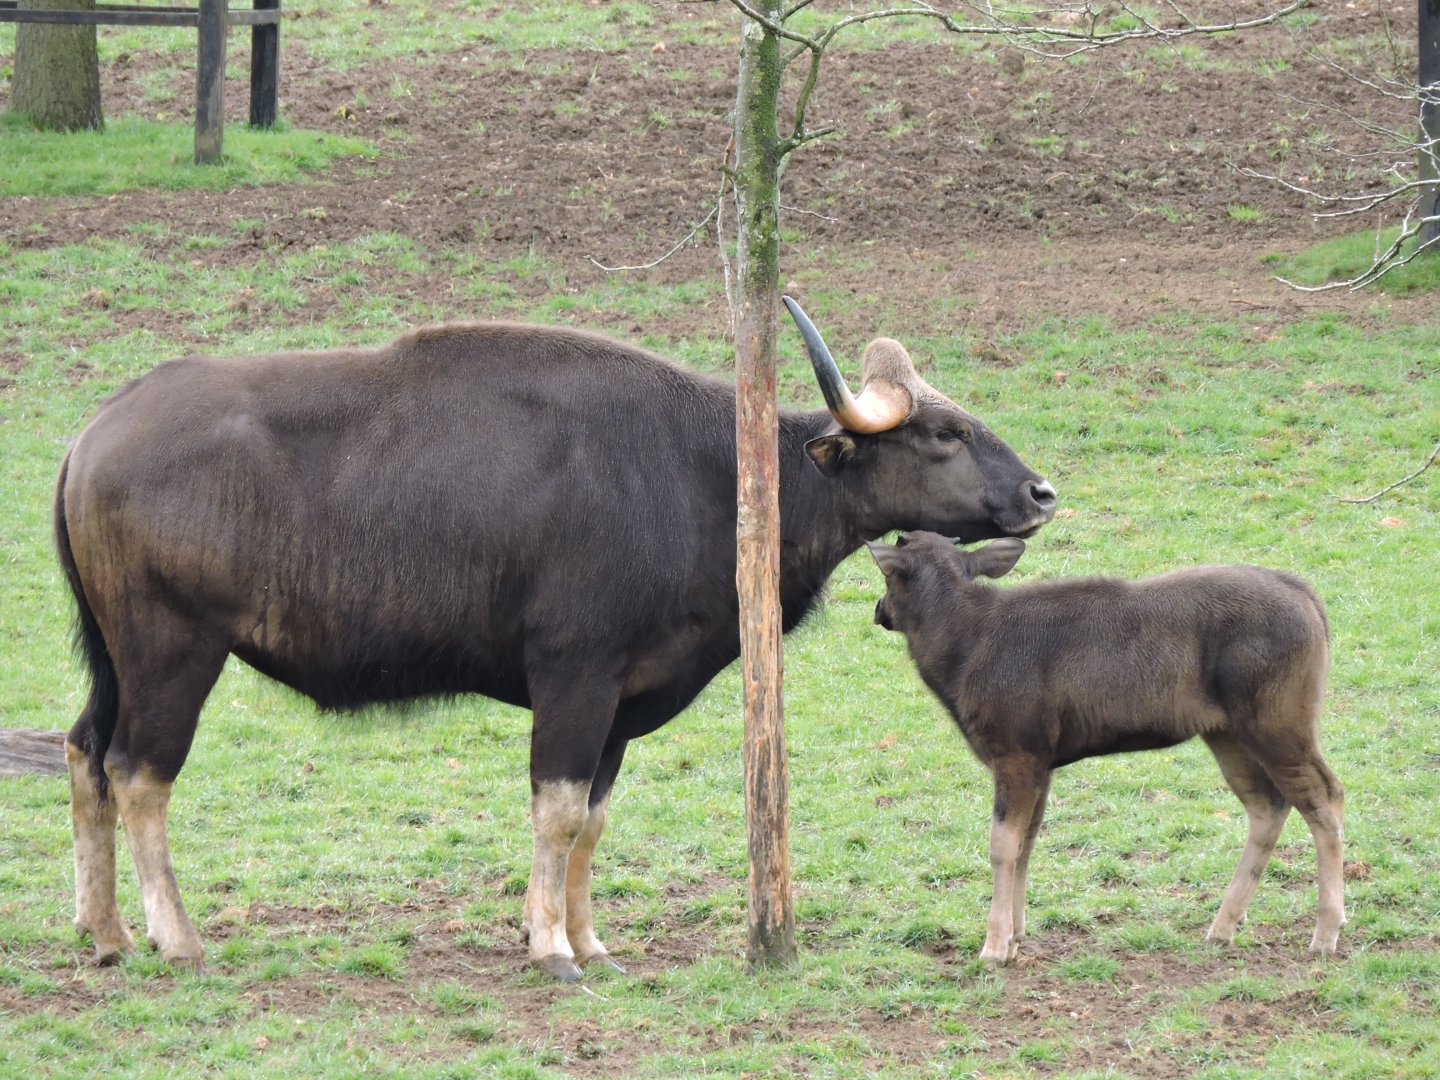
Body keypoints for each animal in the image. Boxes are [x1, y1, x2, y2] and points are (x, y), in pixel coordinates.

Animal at [54, 299, 1057, 981]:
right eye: (943, 432)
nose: (1040, 491)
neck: (712, 473)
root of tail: (94, 433)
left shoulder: (619, 703)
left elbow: (593, 821)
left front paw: (589, 938)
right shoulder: (575, 679)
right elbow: (558, 810)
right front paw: (548, 947)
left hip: (111, 658)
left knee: (84, 752)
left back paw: (105, 932)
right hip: (171, 651)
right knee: (140, 773)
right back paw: (176, 937)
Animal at [867, 531, 1344, 965]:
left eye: (888, 574)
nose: (879, 611)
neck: (958, 655)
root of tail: (1310, 600)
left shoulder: (1016, 750)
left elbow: (1002, 845)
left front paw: (995, 946)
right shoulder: (1042, 759)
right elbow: (1027, 843)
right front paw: (1017, 935)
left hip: (1279, 719)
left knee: (1325, 795)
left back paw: (1326, 932)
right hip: (1227, 731)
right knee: (1268, 804)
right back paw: (1223, 926)